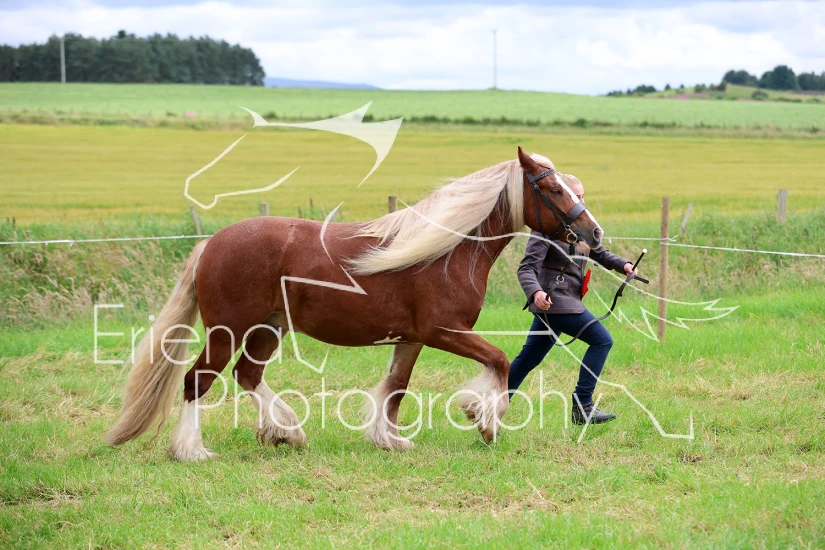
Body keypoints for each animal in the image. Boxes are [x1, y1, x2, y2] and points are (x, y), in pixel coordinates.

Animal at [105, 146, 603, 460]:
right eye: (554, 190)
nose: (593, 233)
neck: (447, 252)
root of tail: (211, 243)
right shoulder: (444, 331)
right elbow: (498, 361)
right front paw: (484, 420)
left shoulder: (412, 339)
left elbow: (396, 387)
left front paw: (391, 440)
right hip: (228, 331)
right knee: (197, 381)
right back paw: (193, 451)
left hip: (268, 328)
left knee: (247, 375)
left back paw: (286, 432)